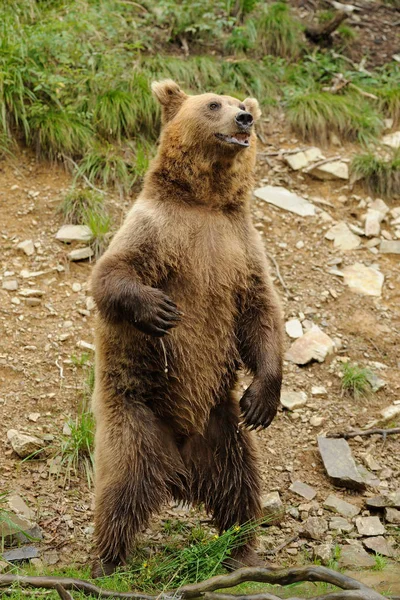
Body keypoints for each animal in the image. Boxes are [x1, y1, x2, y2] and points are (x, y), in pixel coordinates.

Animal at [90, 79, 284, 576]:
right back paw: (104, 561)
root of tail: (180, 468)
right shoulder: (159, 230)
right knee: (120, 488)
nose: (244, 119)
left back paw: (242, 549)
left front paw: (263, 398)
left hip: (223, 427)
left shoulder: (241, 247)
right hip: (135, 417)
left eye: (241, 103)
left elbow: (262, 315)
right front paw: (159, 311)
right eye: (214, 103)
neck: (206, 202)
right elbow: (111, 273)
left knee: (240, 486)